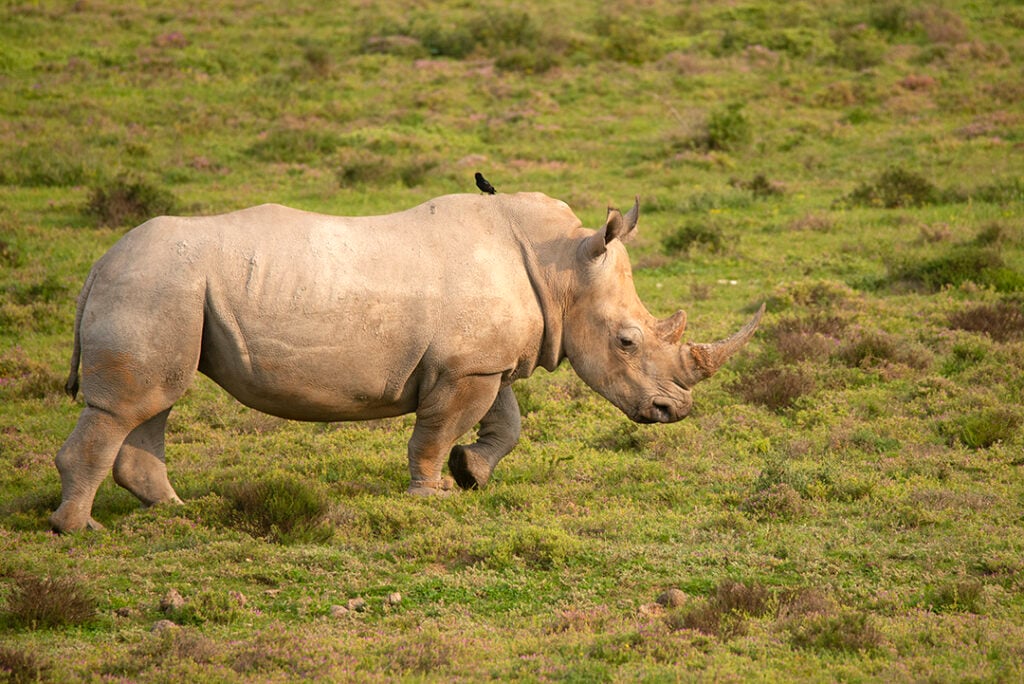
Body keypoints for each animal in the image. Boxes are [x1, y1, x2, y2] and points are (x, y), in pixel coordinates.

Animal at [50, 192, 763, 532]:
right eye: (626, 342)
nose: (675, 411)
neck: (562, 266)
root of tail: (98, 263)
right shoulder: (466, 368)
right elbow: (435, 431)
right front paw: (432, 494)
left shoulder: (483, 360)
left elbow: (504, 424)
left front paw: (471, 473)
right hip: (154, 284)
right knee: (130, 404)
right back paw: (80, 531)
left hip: (164, 289)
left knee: (153, 402)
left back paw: (174, 511)